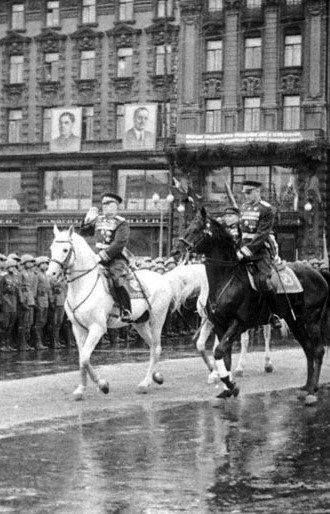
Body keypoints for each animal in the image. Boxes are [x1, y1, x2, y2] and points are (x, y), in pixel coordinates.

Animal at [179, 207, 328, 404]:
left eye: (198, 228)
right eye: (189, 225)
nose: (180, 247)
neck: (227, 278)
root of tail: (318, 273)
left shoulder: (238, 322)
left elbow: (219, 351)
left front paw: (231, 383)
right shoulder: (219, 325)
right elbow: (224, 356)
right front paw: (228, 387)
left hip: (311, 320)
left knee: (318, 350)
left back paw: (311, 392)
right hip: (295, 321)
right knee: (309, 349)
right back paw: (307, 386)